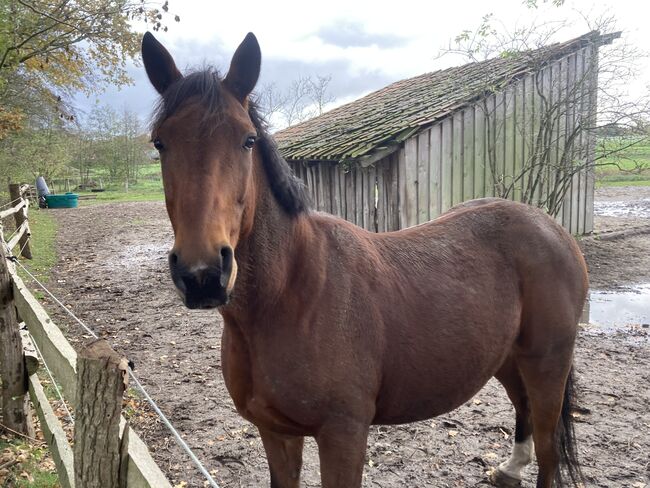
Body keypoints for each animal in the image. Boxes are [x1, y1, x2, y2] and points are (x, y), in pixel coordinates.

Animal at [142, 31, 588, 488]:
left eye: (247, 140)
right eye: (160, 142)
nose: (203, 274)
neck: (290, 296)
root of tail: (551, 228)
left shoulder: (344, 435)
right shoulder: (276, 432)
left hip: (547, 364)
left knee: (550, 450)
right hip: (510, 359)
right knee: (524, 411)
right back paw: (509, 469)